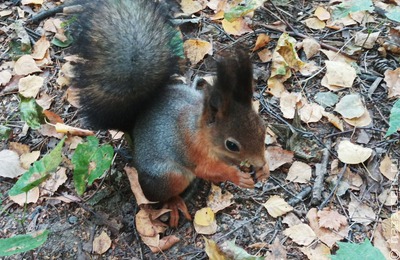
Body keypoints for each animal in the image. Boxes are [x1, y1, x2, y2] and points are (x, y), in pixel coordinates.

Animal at [70, 0, 270, 228]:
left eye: (262, 128)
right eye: (232, 145)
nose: (260, 163)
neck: (200, 130)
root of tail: (135, 127)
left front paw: (263, 170)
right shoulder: (191, 149)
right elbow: (207, 169)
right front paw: (236, 176)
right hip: (168, 176)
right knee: (165, 193)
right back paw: (175, 203)